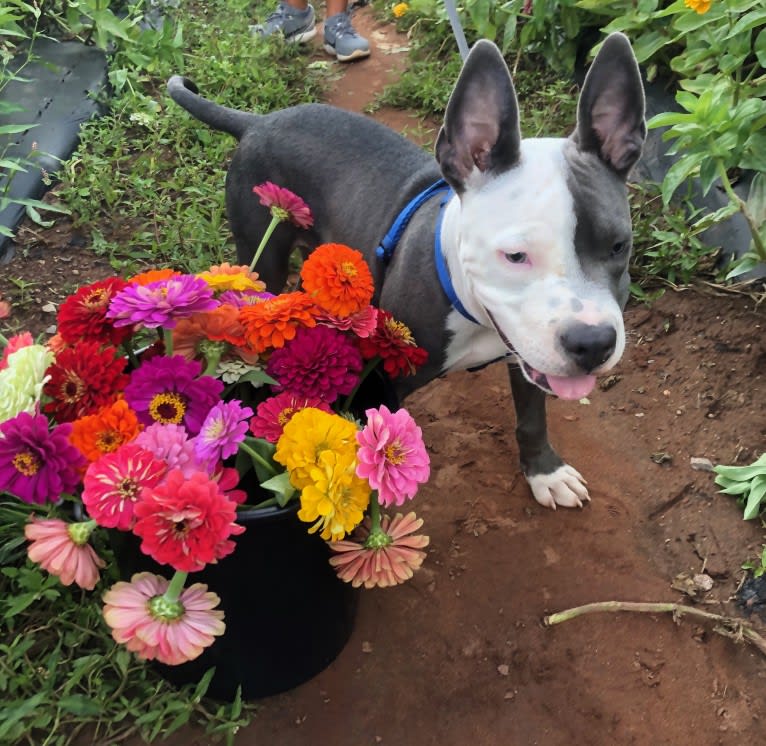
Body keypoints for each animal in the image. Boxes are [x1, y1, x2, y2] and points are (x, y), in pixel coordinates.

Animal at [170, 35, 648, 512]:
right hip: (262, 252)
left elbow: (532, 417)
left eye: (619, 246)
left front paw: (545, 473)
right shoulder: (384, 377)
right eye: (515, 256)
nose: (593, 343)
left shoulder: (529, 355)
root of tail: (258, 121)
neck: (469, 305)